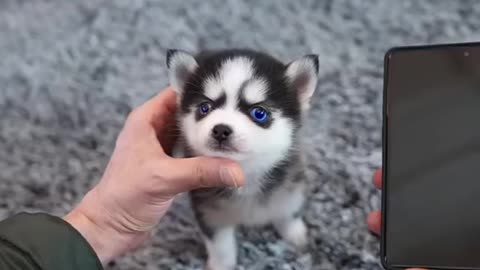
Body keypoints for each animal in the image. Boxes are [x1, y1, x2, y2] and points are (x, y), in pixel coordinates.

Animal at [166, 49, 318, 270]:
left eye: (259, 113)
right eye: (205, 107)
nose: (221, 130)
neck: (245, 171)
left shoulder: (291, 188)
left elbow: (289, 214)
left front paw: (296, 236)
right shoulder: (210, 212)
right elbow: (221, 246)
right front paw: (221, 265)